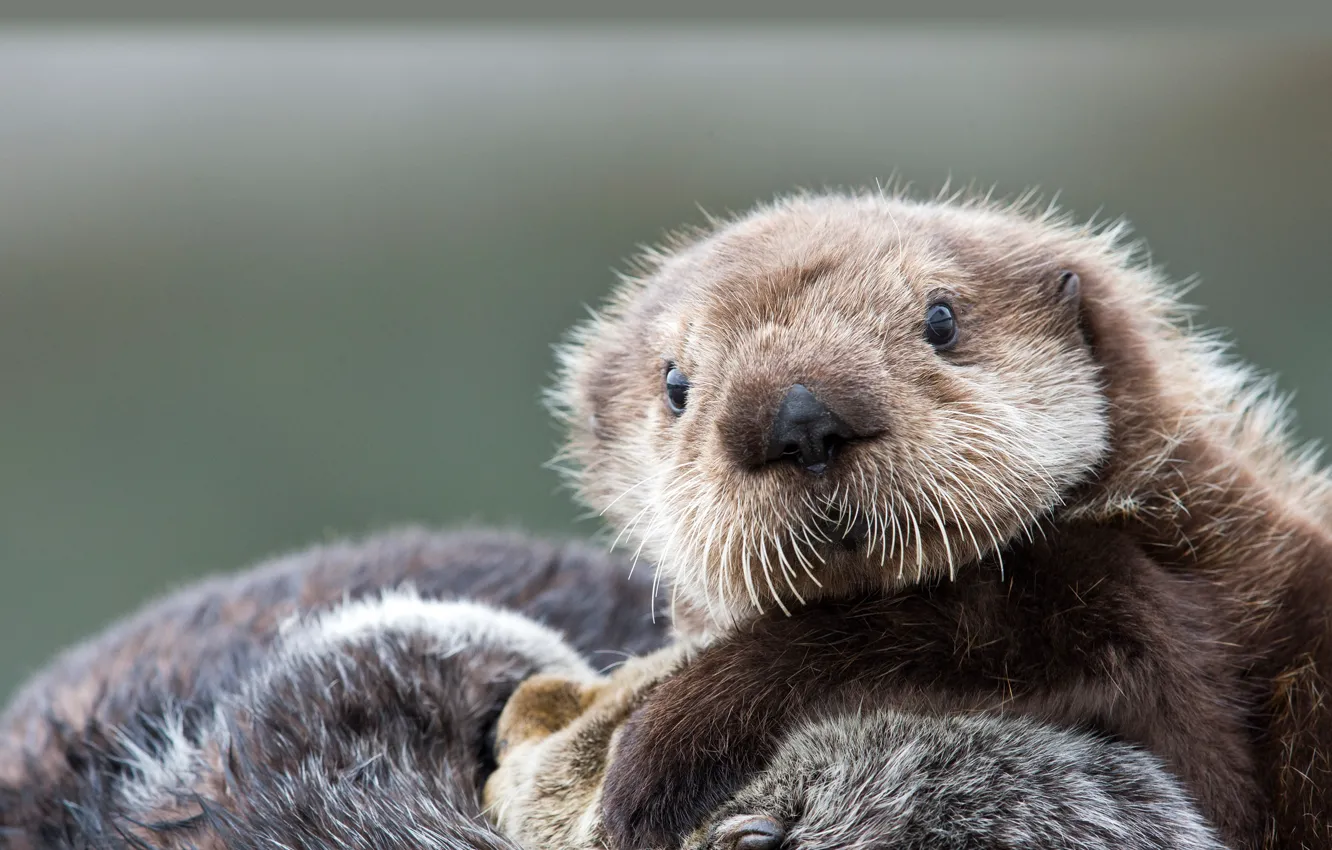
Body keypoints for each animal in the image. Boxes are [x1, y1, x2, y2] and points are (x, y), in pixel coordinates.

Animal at [552, 191, 1332, 849]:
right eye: (675, 384)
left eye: (942, 319)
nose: (799, 420)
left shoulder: (1171, 608)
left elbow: (935, 625)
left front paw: (660, 750)